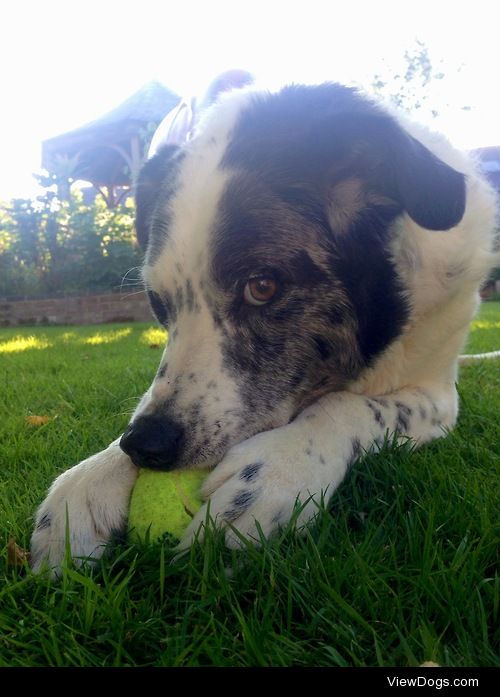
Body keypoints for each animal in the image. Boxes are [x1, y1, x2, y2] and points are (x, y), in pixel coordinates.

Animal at [29, 81, 498, 572]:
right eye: (158, 303)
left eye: (262, 287)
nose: (146, 445)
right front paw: (90, 480)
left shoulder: (437, 394)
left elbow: (351, 405)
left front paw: (276, 470)